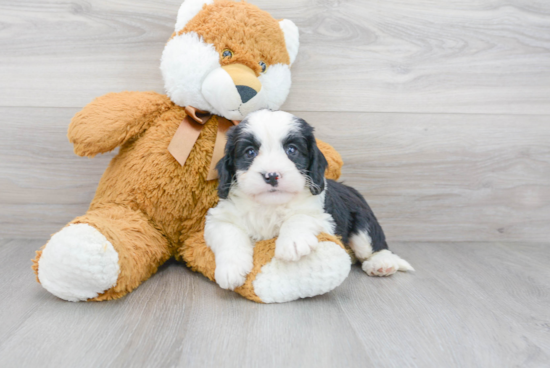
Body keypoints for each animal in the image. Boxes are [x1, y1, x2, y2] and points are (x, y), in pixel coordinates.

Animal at [206, 109, 414, 290]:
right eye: (250, 152)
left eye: (292, 150)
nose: (272, 175)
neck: (270, 205)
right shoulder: (219, 218)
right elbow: (229, 233)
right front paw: (231, 269)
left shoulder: (324, 216)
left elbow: (300, 216)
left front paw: (293, 242)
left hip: (363, 221)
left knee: (374, 245)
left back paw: (381, 263)